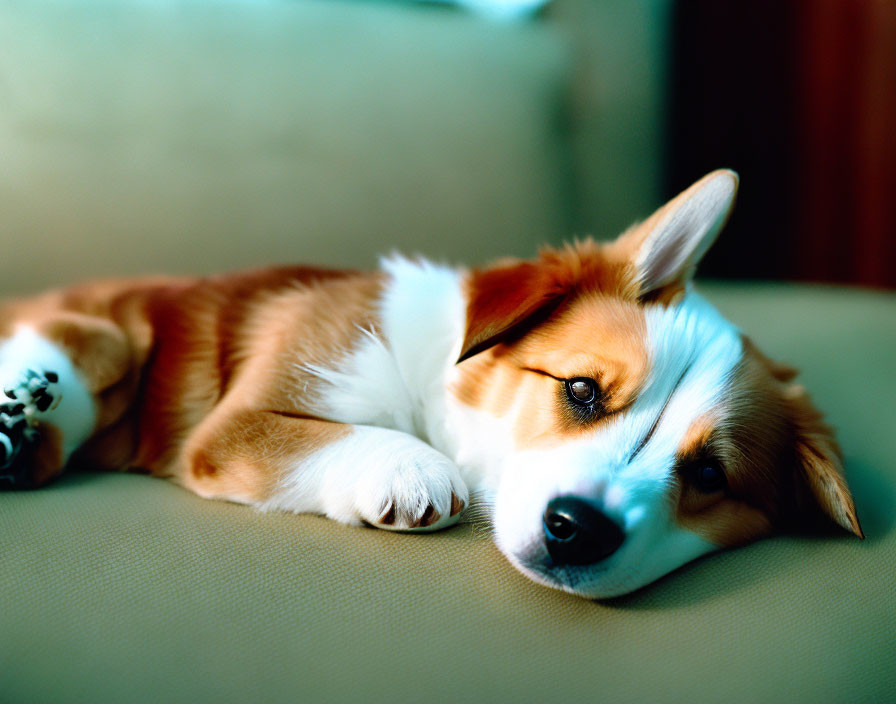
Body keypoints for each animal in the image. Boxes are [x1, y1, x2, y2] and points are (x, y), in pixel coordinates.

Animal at [0, 172, 860, 600]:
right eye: (582, 391)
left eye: (711, 475)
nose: (577, 530)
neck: (433, 377)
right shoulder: (238, 423)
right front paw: (411, 469)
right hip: (112, 335)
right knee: (80, 343)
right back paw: (22, 406)